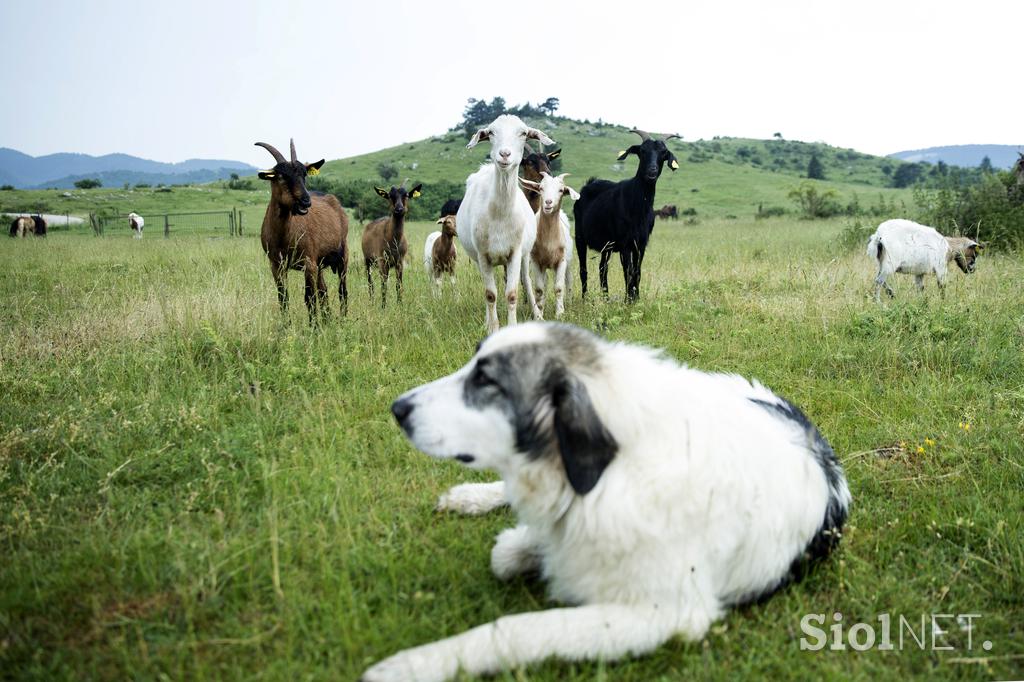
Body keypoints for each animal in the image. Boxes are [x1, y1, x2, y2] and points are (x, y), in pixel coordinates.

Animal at [258, 138, 350, 321]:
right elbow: (283, 298)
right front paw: (286, 326)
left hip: (342, 255)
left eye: (304, 174)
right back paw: (328, 320)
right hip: (319, 263)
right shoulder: (276, 265)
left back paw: (343, 319)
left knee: (342, 290)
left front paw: (314, 326)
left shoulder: (308, 263)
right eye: (281, 176)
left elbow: (309, 298)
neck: (283, 236)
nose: (305, 201)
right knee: (324, 290)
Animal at [456, 115, 552, 333]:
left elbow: (512, 293)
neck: (500, 214)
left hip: (523, 255)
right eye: (491, 132)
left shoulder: (514, 252)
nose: (504, 154)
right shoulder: (483, 255)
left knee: (526, 281)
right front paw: (492, 328)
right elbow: (490, 294)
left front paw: (513, 326)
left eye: (523, 133)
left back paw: (537, 314)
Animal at [520, 171, 577, 317]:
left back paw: (569, 302)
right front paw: (540, 311)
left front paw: (560, 313)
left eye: (561, 190)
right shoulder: (536, 261)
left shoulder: (561, 260)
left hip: (568, 261)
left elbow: (559, 287)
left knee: (569, 280)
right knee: (544, 283)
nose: (548, 202)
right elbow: (540, 289)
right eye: (541, 188)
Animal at [577, 126, 679, 301]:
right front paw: (628, 300)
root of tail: (588, 185)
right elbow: (628, 272)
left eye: (664, 152)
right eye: (642, 151)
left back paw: (606, 298)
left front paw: (636, 299)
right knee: (583, 269)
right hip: (580, 238)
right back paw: (585, 299)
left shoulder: (641, 244)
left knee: (602, 268)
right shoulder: (625, 243)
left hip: (607, 246)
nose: (652, 171)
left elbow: (637, 272)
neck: (638, 206)